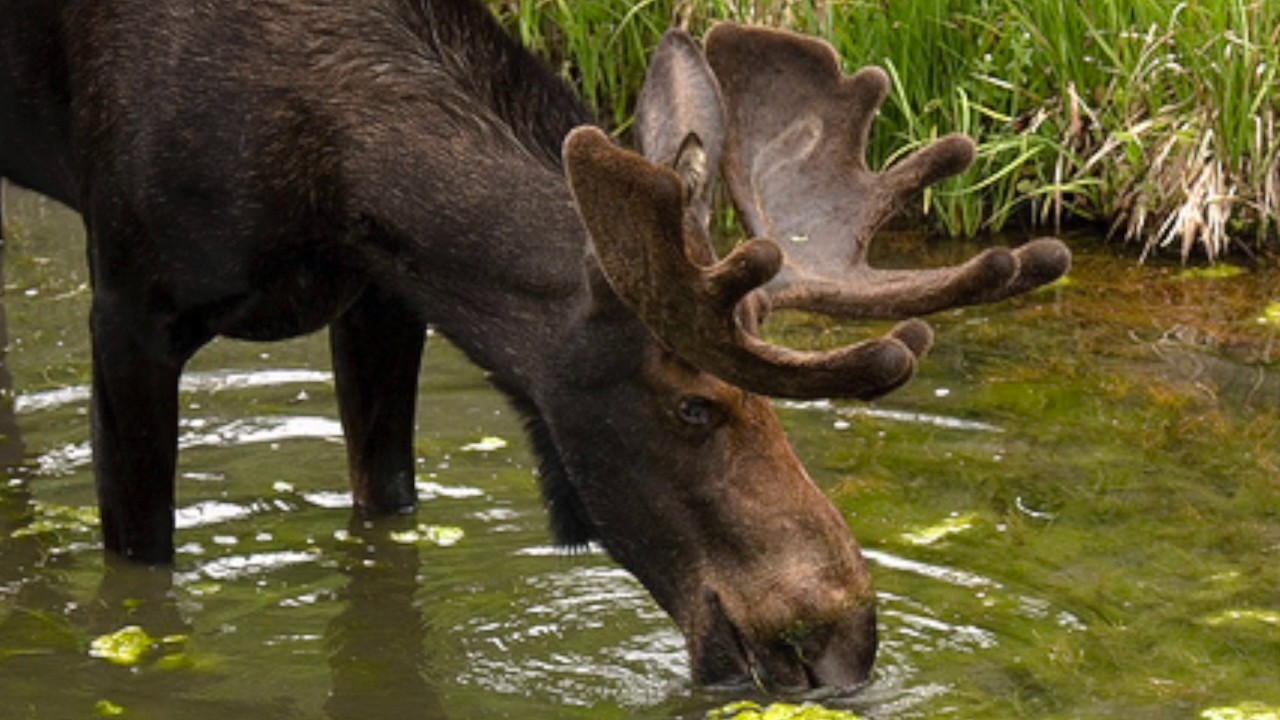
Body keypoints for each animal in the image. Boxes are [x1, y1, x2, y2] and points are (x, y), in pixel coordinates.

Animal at [0, 0, 1070, 691]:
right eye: (693, 405)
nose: (845, 639)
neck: (341, 179)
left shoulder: (383, 298)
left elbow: (386, 508)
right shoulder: (130, 308)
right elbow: (140, 570)